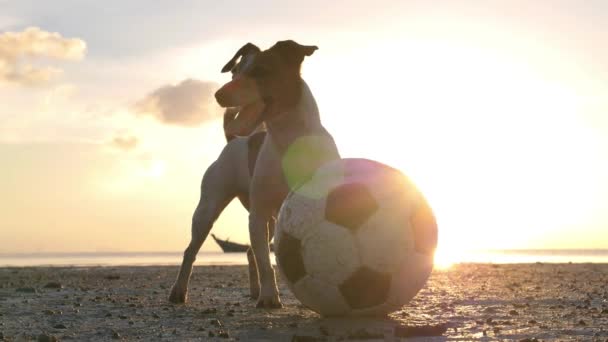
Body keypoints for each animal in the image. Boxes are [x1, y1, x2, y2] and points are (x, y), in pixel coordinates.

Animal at [214, 40, 340, 308]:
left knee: (250, 251)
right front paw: (270, 296)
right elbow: (265, 262)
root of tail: (234, 139)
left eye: (260, 71)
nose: (218, 95)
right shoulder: (259, 213)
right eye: (234, 72)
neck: (288, 139)